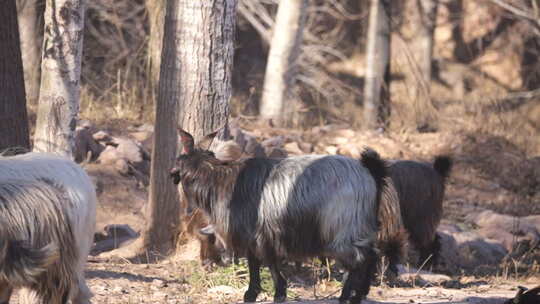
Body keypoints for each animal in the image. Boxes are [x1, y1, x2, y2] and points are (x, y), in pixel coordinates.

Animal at [171, 129, 390, 304]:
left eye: (178, 159)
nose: (171, 174)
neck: (219, 179)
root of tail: (370, 175)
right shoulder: (264, 234)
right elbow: (263, 262)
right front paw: (268, 293)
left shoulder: (256, 234)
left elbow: (262, 263)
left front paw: (264, 294)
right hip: (359, 227)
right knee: (372, 254)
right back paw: (360, 293)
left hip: (342, 230)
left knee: (359, 259)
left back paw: (346, 297)